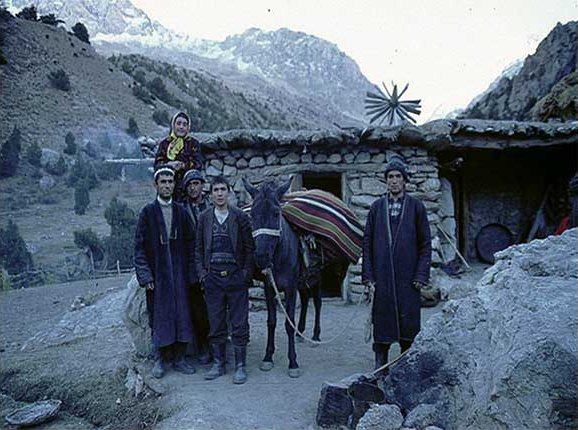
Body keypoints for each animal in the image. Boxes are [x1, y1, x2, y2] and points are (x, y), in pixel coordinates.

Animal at [242, 176, 322, 378]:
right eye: (252, 214)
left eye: (276, 213)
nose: (261, 257)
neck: (278, 256)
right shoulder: (269, 288)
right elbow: (271, 322)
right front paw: (267, 357)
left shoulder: (291, 288)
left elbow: (288, 323)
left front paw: (293, 362)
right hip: (302, 281)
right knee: (306, 299)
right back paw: (301, 332)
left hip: (316, 278)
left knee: (317, 302)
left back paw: (315, 335)